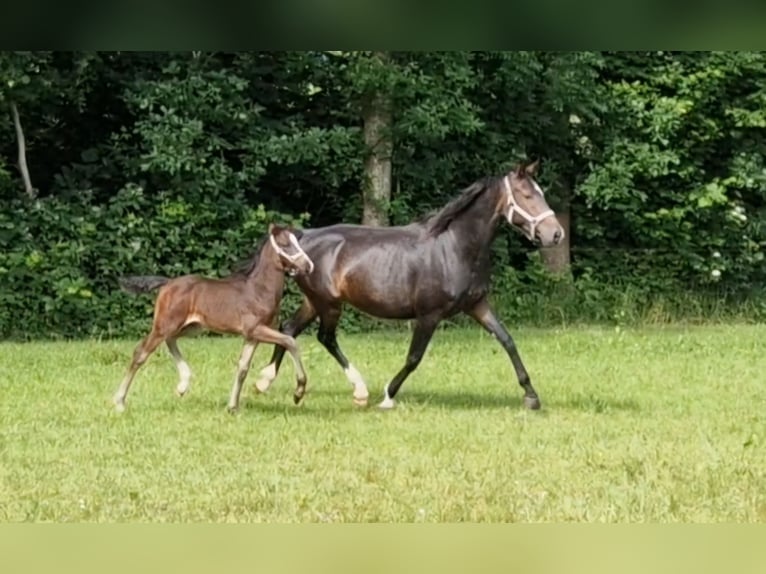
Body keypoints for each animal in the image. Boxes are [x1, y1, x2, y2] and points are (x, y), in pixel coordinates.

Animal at [113, 224, 316, 414]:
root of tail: (167, 283)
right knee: (141, 353)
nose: (309, 266)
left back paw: (183, 385)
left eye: (297, 242)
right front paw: (298, 392)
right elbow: (290, 341)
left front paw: (232, 407)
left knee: (170, 340)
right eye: (284, 244)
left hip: (191, 327)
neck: (259, 290)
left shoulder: (253, 336)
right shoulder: (255, 329)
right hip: (164, 325)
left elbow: (243, 368)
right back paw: (120, 402)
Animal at [252, 162, 564, 412]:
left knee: (289, 329)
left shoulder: (477, 305)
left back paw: (264, 382)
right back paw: (359, 391)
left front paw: (531, 397)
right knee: (324, 337)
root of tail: (304, 237)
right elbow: (414, 357)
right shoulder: (429, 315)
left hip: (314, 302)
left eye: (541, 193)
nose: (556, 234)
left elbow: (507, 340)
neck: (454, 247)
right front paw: (388, 396)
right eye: (527, 195)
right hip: (328, 304)